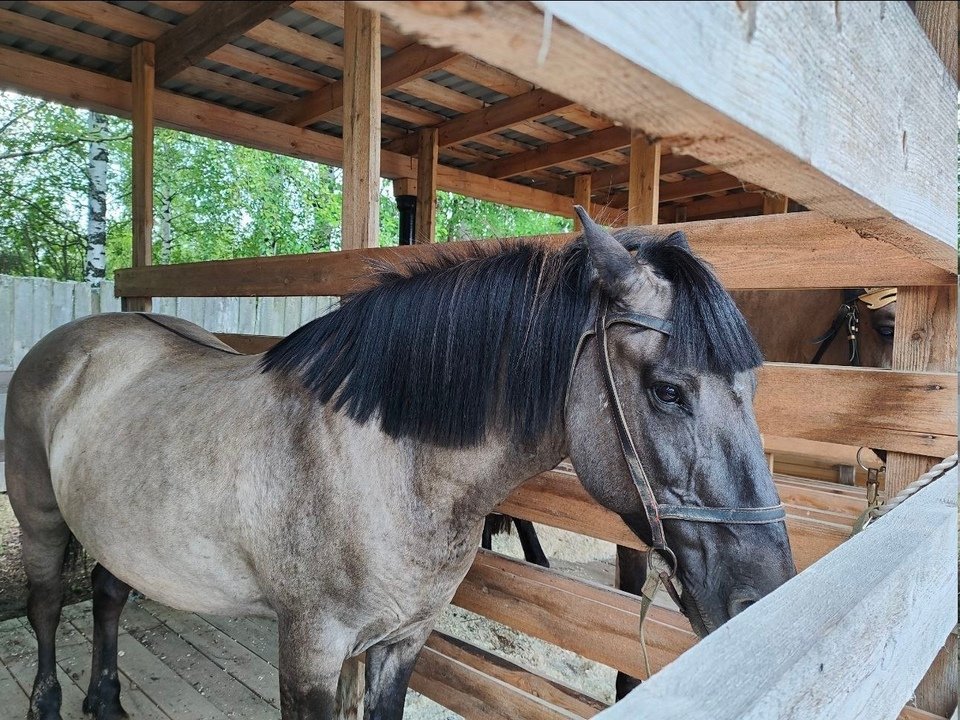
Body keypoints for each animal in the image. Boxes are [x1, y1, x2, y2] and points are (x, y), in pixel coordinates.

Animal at [3, 212, 792, 720]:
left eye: (753, 389)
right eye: (668, 390)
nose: (765, 597)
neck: (385, 467)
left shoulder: (400, 644)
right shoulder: (311, 654)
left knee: (108, 595)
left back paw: (105, 701)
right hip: (41, 519)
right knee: (46, 607)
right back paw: (49, 702)